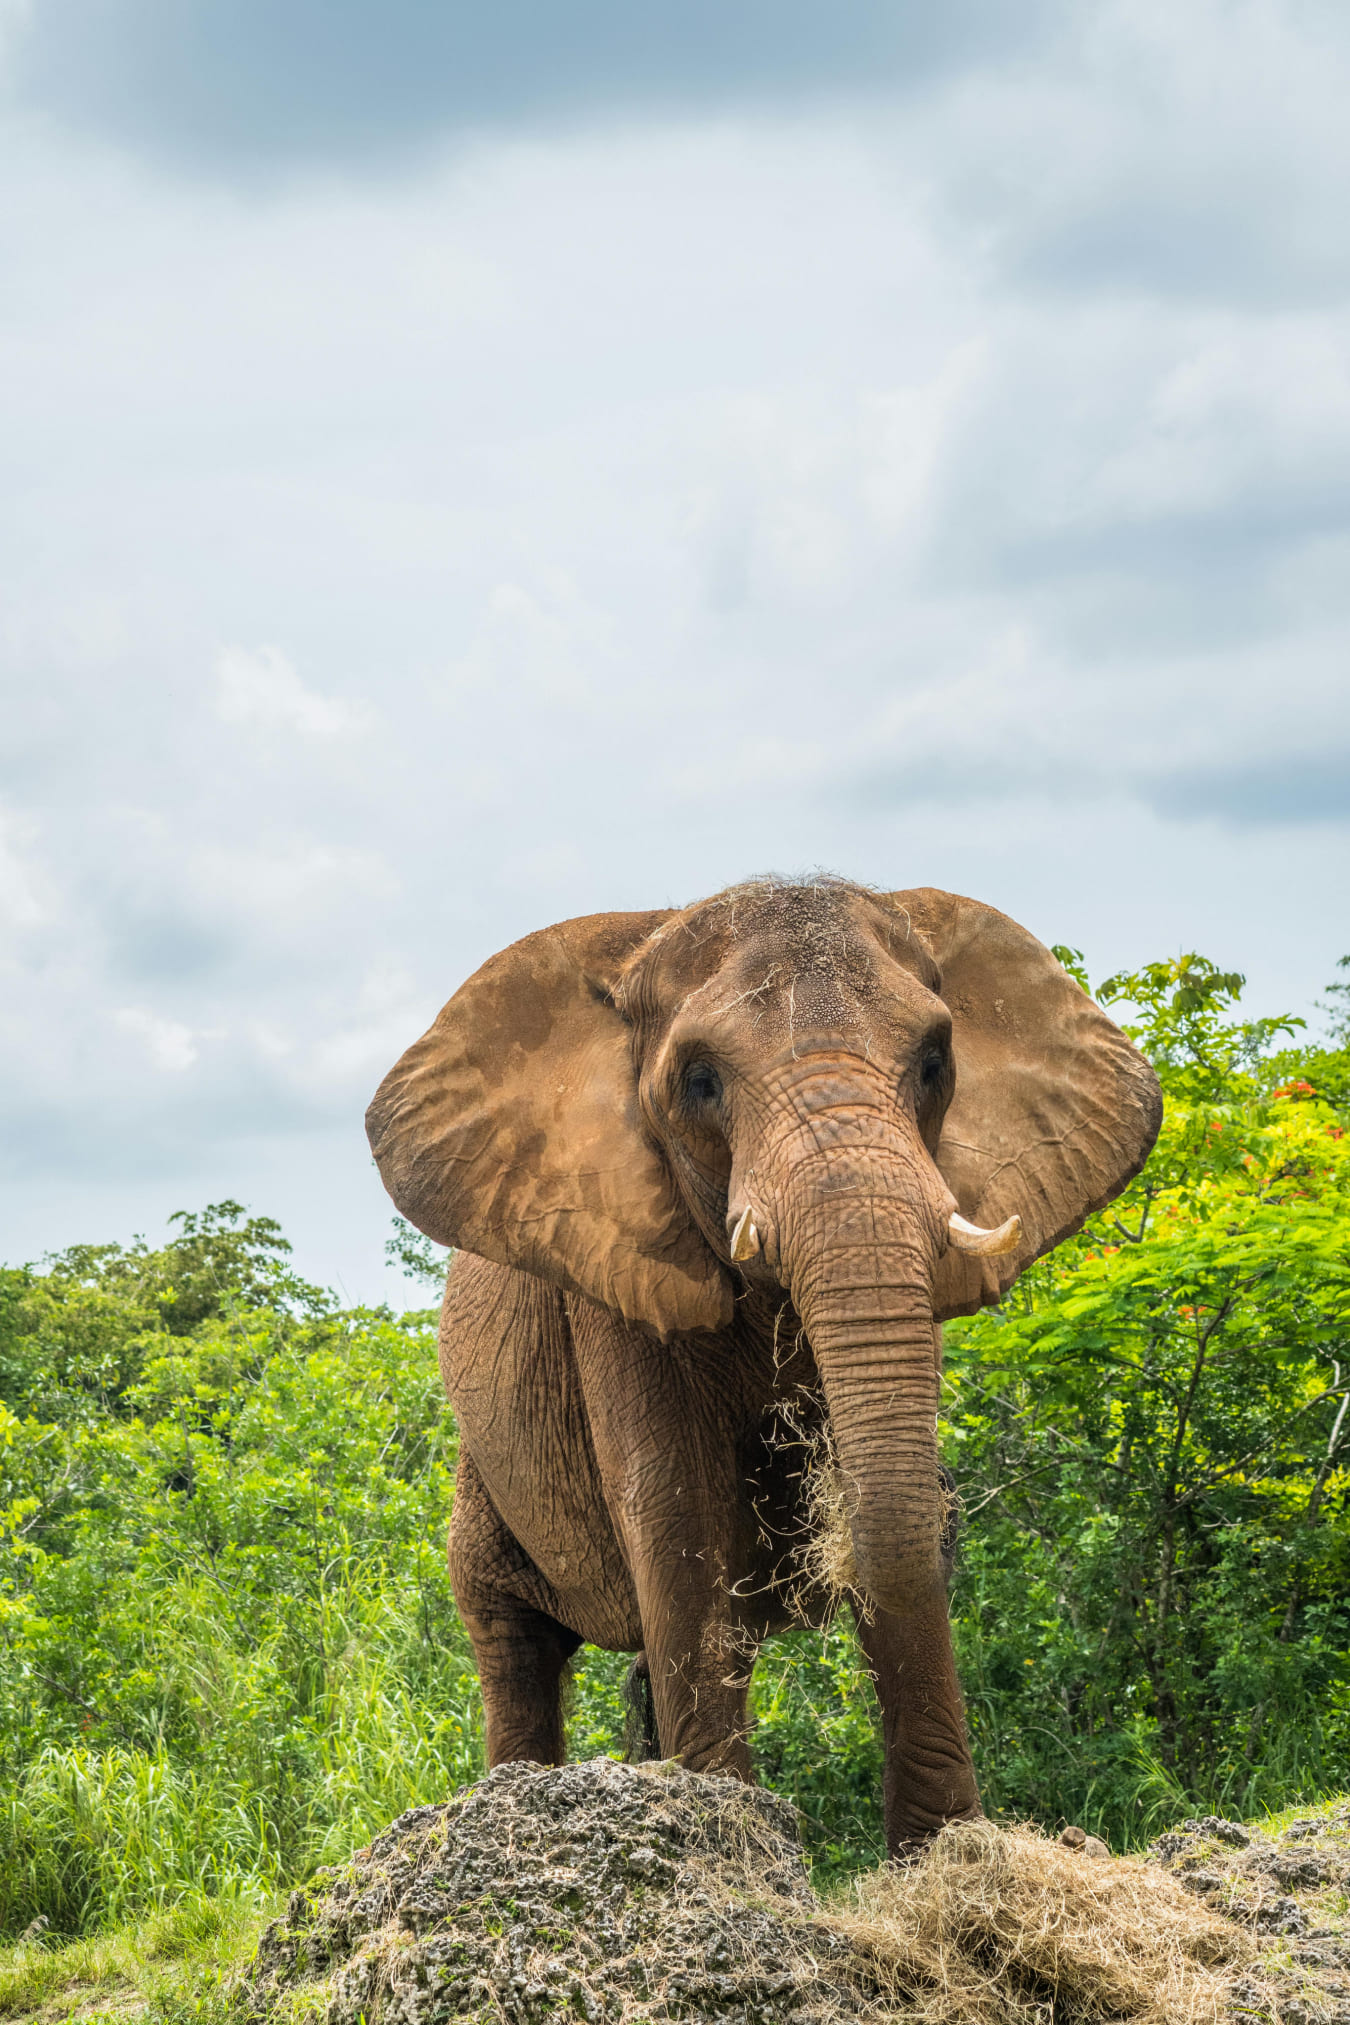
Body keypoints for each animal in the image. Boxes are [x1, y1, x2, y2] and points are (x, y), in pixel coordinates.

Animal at [370, 874, 1165, 1854]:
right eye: (700, 1080)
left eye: (935, 1060)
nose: (955, 1501)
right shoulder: (617, 1287)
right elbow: (679, 1521)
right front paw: (731, 1848)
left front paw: (945, 1852)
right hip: (483, 1474)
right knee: (512, 1640)